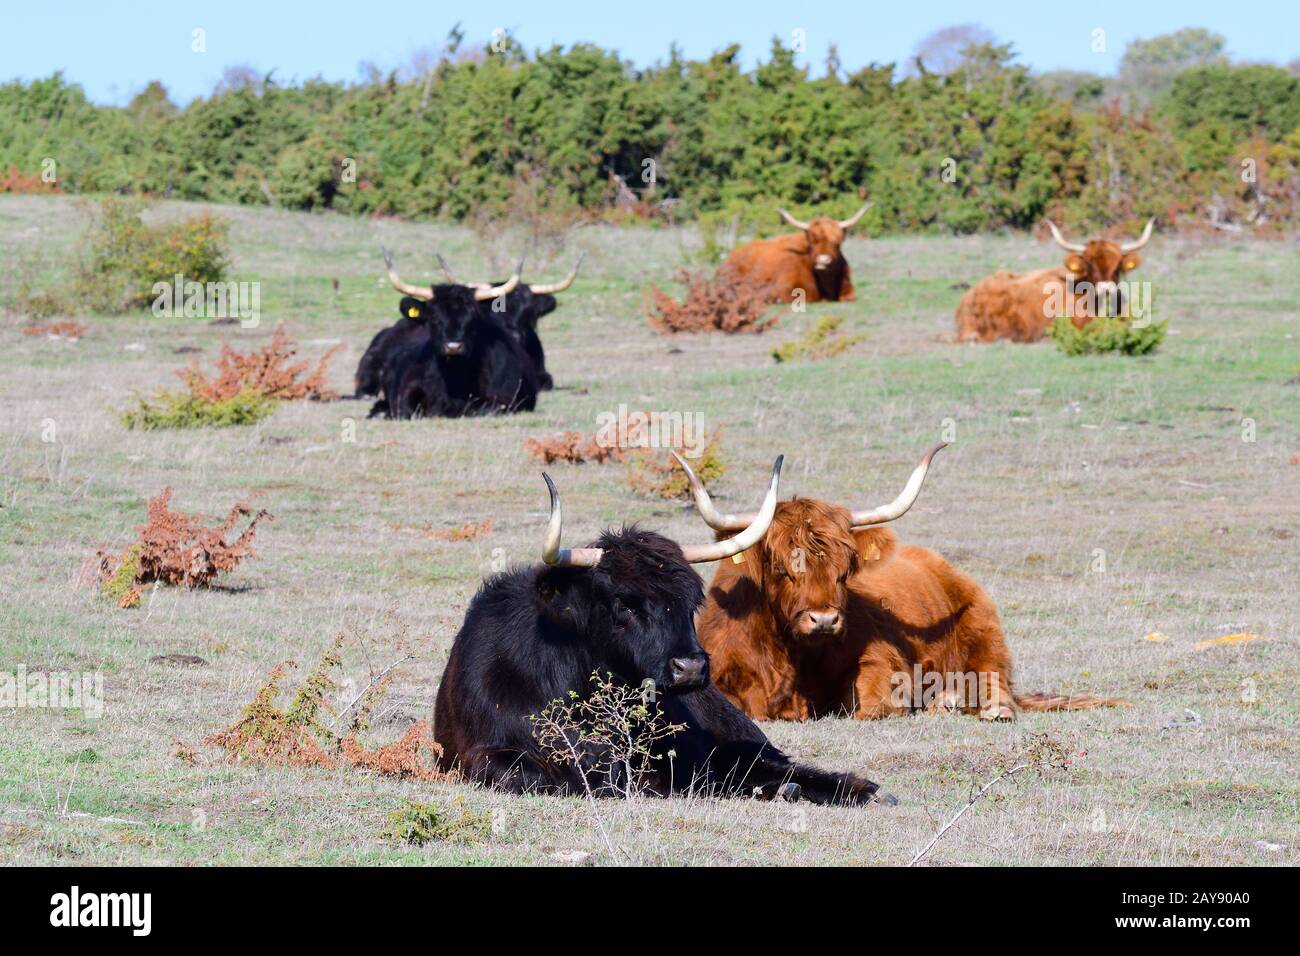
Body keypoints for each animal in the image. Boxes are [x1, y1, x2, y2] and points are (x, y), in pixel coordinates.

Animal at [676, 448, 1127, 722]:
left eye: (845, 568)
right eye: (782, 566)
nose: (824, 620)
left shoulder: (882, 662)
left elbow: (869, 703)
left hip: (986, 635)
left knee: (994, 682)